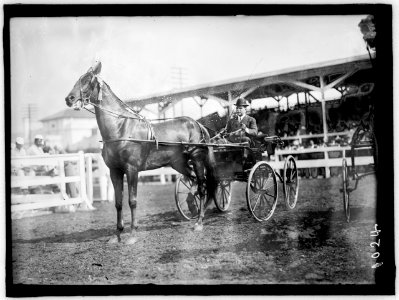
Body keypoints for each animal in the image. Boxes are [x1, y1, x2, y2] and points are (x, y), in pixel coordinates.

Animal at [64, 61, 217, 244]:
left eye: (88, 80)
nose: (69, 98)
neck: (120, 129)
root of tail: (197, 124)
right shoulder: (115, 171)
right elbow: (118, 203)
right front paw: (117, 235)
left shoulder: (132, 170)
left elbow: (132, 201)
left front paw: (132, 234)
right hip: (178, 164)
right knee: (193, 182)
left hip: (197, 159)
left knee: (202, 186)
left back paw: (199, 222)